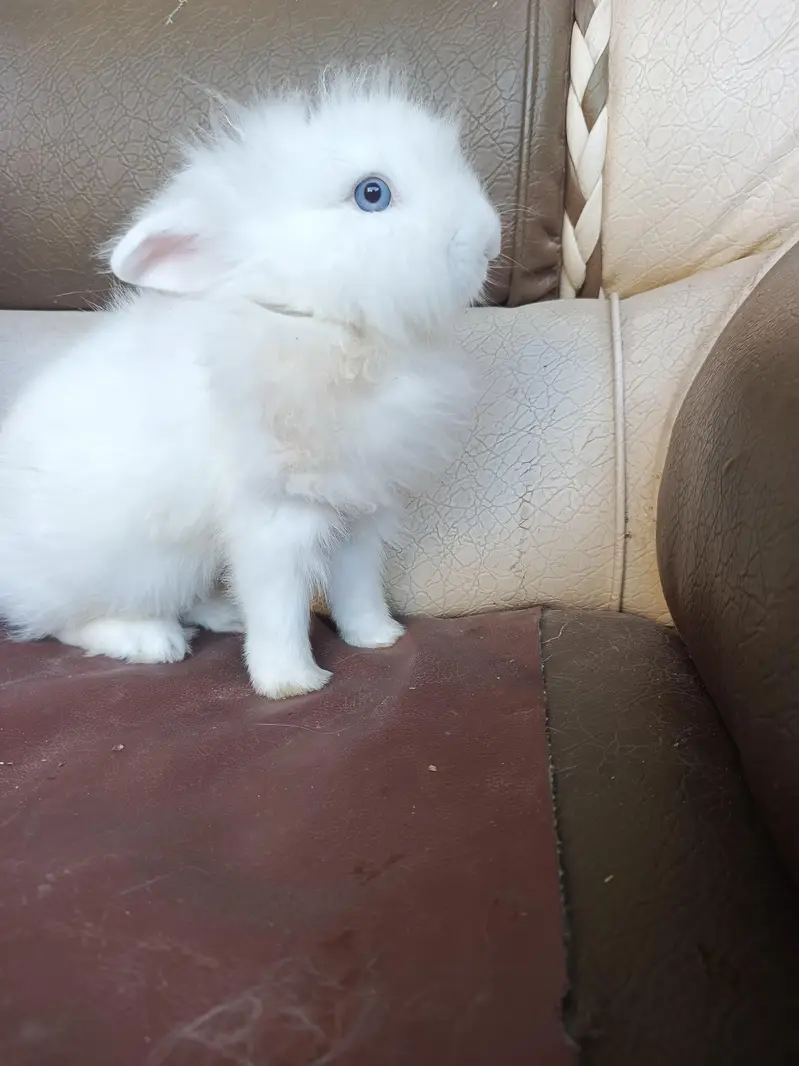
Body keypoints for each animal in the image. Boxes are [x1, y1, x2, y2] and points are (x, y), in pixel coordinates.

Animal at [0, 70, 501, 699]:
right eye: (372, 193)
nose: (490, 239)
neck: (319, 325)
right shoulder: (273, 519)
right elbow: (280, 605)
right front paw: (291, 684)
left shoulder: (360, 512)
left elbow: (358, 586)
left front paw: (379, 638)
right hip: (129, 566)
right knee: (66, 623)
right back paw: (150, 640)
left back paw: (221, 614)